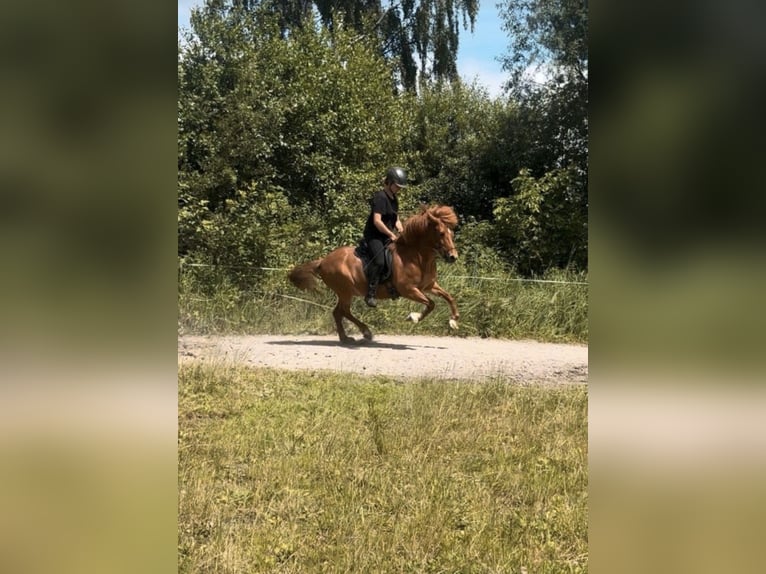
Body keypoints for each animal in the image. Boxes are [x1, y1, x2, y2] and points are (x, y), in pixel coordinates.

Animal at [288, 204, 460, 343]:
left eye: (451, 234)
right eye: (441, 233)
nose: (453, 257)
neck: (415, 256)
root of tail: (323, 260)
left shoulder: (429, 286)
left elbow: (448, 297)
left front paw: (453, 320)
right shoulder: (408, 290)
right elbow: (431, 304)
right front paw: (414, 317)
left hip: (346, 292)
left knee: (338, 312)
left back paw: (347, 337)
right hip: (345, 291)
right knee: (342, 311)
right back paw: (364, 332)